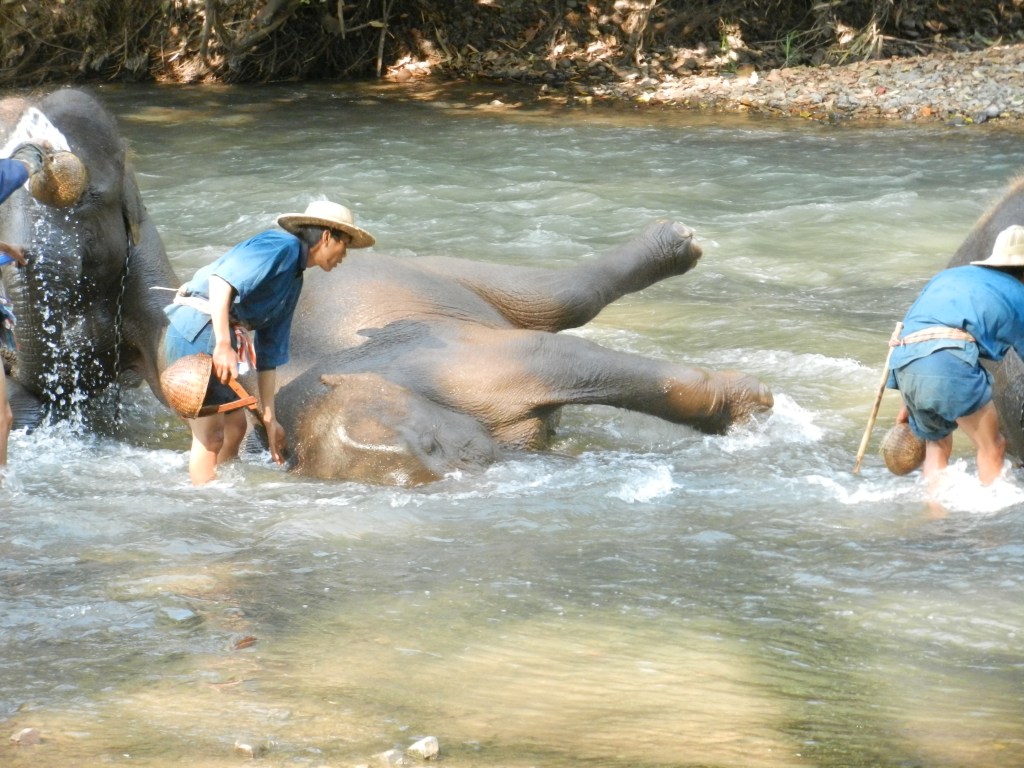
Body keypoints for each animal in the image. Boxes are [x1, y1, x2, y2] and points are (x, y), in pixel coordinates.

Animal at [0, 87, 774, 485]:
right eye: (431, 450)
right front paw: (759, 407)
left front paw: (761, 409)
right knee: (556, 302)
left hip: (428, 268)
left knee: (554, 298)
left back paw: (681, 240)